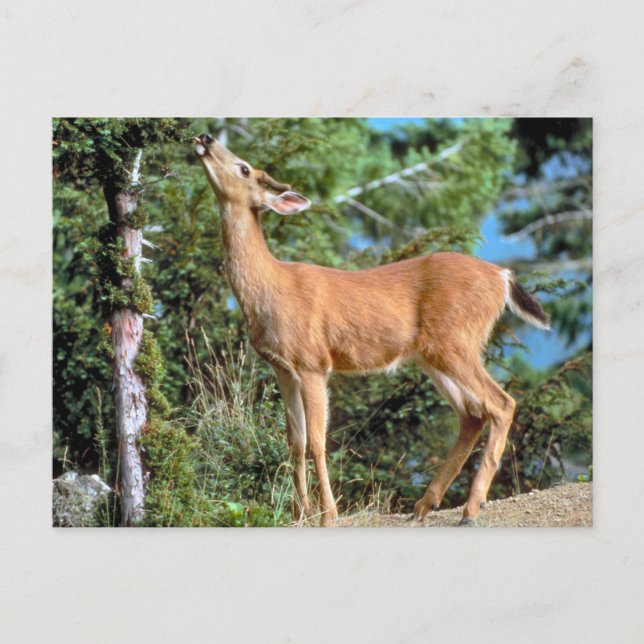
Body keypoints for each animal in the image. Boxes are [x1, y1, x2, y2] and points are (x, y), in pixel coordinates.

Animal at [193, 133, 550, 527]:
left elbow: (317, 440)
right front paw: (300, 513)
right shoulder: (282, 369)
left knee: (501, 404)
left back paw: (470, 508)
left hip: (455, 341)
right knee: (472, 414)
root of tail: (502, 276)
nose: (205, 137)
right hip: (433, 354)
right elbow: (295, 441)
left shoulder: (312, 362)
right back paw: (425, 505)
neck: (270, 288)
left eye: (244, 168)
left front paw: (328, 514)